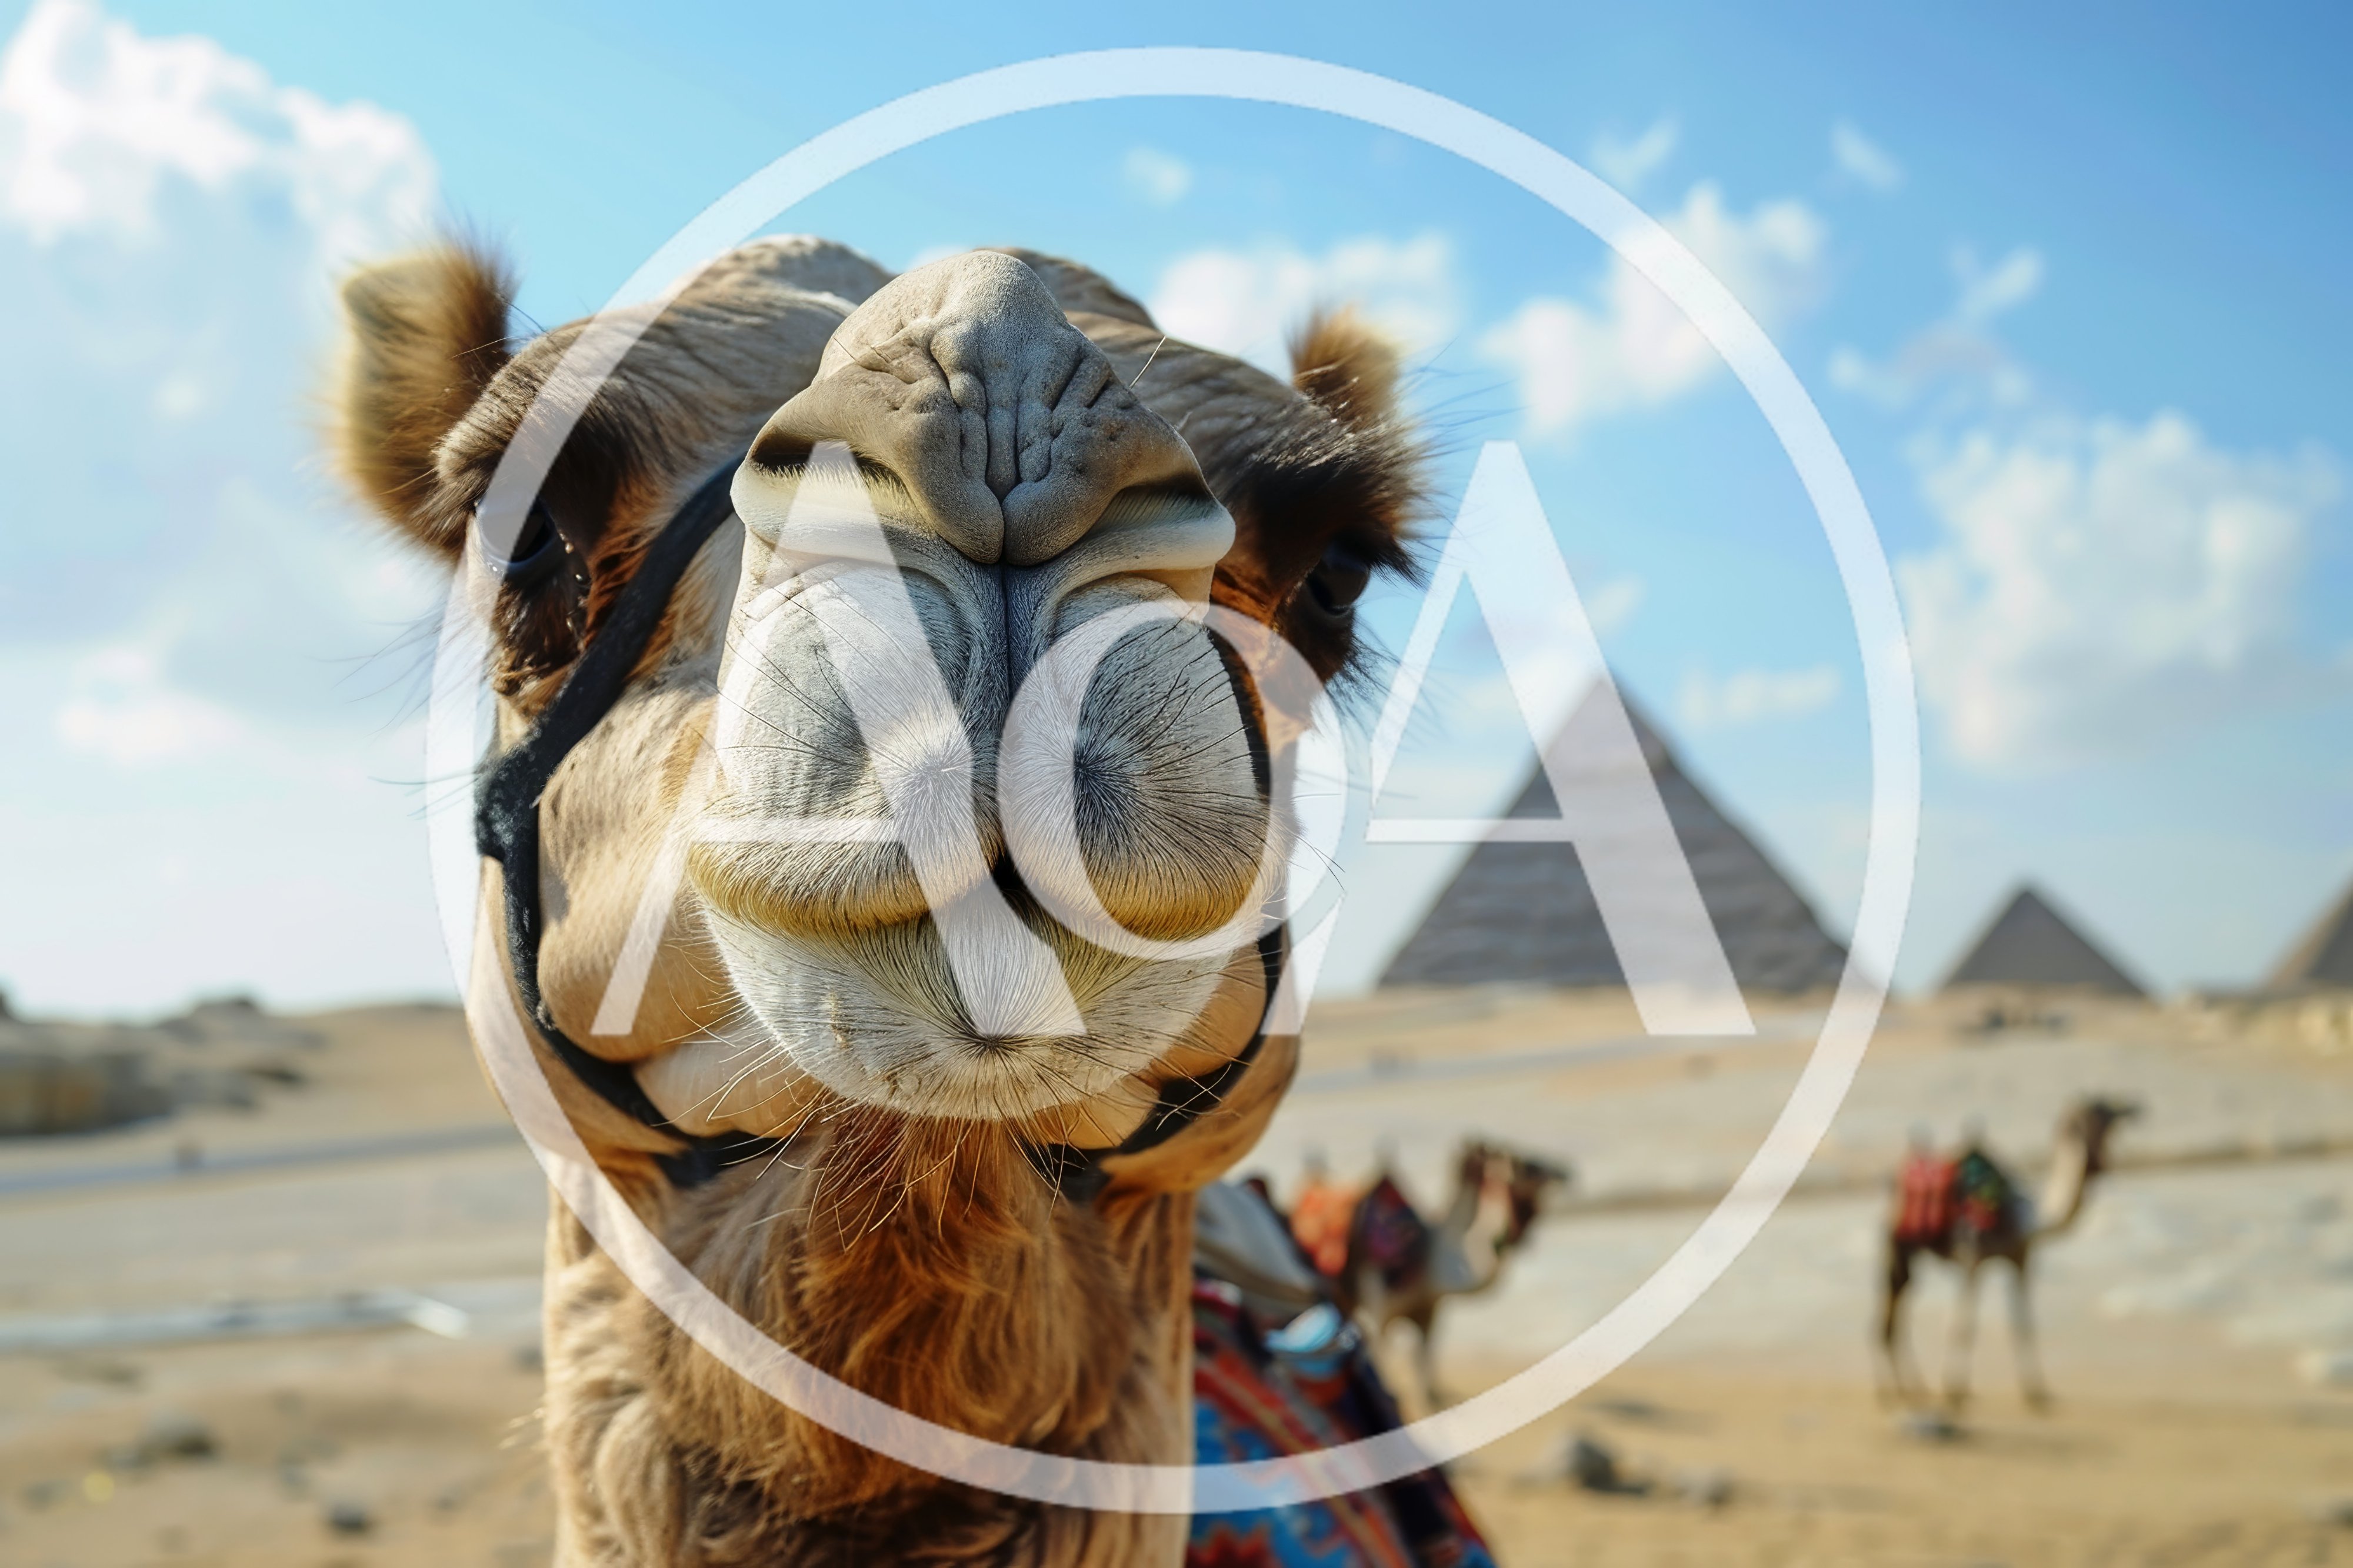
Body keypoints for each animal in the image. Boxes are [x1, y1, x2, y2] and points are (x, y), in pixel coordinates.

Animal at [1876, 1096, 2139, 1414]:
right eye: (2102, 1108)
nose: (2137, 1107)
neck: (2027, 1220)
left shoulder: (2020, 1260)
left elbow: (2023, 1325)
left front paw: (2037, 1393)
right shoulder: (1972, 1260)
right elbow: (1964, 1327)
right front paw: (1954, 1393)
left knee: (1896, 1313)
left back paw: (1911, 1390)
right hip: (1897, 1244)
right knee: (1890, 1315)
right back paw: (1895, 1394)